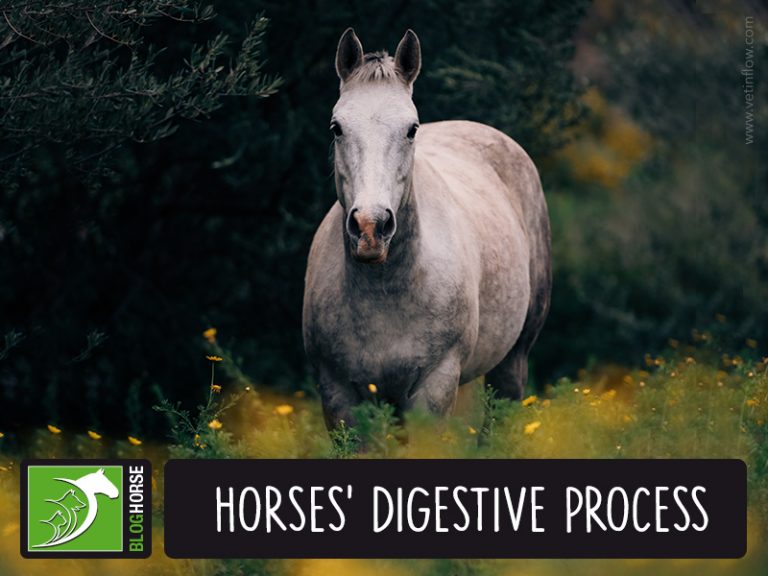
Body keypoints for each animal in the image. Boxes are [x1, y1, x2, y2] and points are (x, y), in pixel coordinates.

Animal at [303, 28, 551, 431]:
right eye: (336, 127)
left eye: (411, 129)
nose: (370, 227)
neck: (385, 292)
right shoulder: (338, 394)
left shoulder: (434, 388)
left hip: (513, 361)